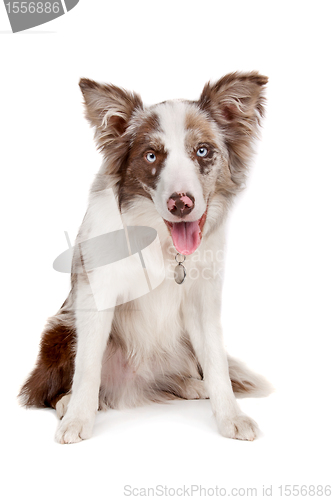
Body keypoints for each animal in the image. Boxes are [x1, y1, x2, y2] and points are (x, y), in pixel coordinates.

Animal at [19, 70, 272, 442]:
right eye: (152, 156)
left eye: (202, 151)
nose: (181, 203)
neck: (159, 239)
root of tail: (134, 385)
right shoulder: (96, 292)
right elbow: (88, 366)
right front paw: (78, 418)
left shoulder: (202, 300)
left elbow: (216, 362)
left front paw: (230, 416)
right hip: (60, 329)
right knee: (50, 389)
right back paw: (67, 402)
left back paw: (190, 384)